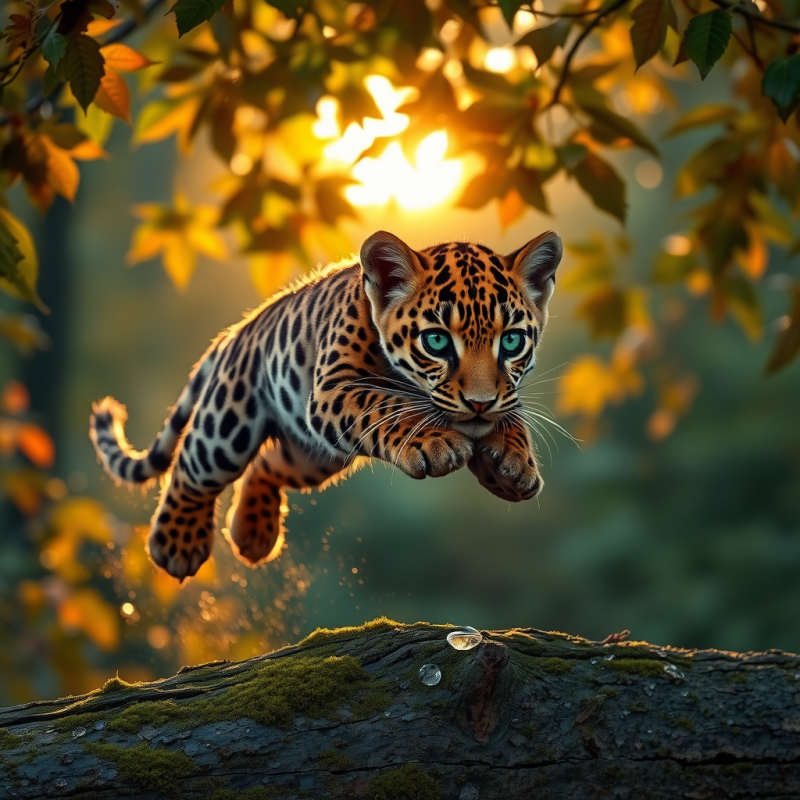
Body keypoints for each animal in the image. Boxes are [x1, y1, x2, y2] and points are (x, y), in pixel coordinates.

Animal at [90, 229, 562, 582]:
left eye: (512, 341)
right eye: (436, 340)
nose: (479, 404)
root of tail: (239, 330)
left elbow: (512, 410)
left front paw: (514, 465)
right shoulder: (336, 387)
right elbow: (384, 403)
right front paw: (437, 442)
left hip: (315, 454)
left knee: (267, 465)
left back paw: (253, 535)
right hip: (230, 422)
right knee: (195, 467)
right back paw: (177, 544)